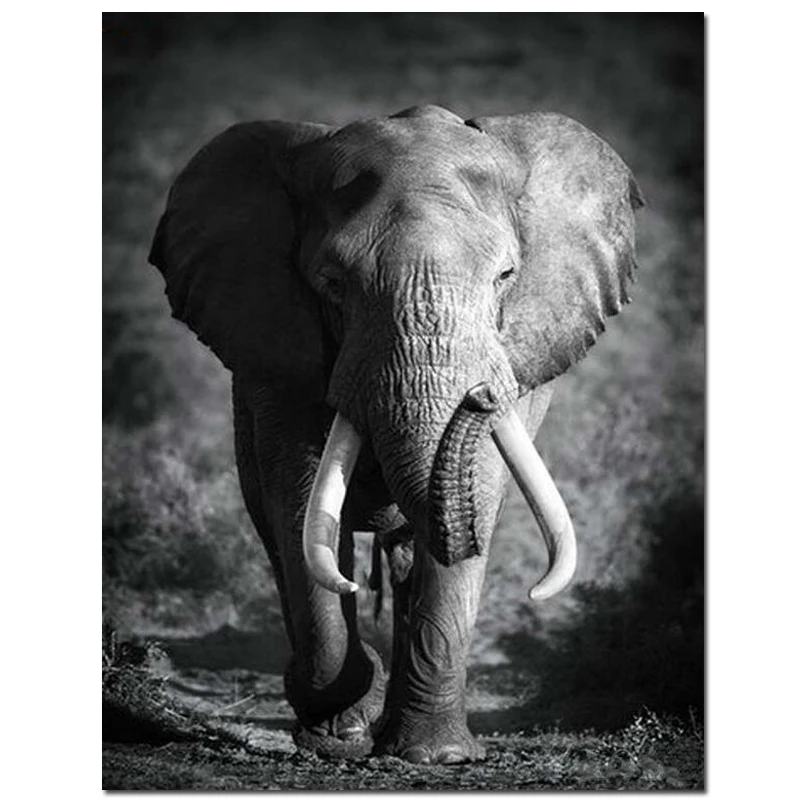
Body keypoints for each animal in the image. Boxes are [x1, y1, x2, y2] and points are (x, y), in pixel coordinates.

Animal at [149, 104, 643, 764]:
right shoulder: (275, 352)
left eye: (506, 276)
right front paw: (339, 735)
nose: (482, 395)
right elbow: (299, 498)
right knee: (279, 532)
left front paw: (435, 756)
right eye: (333, 283)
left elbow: (480, 489)